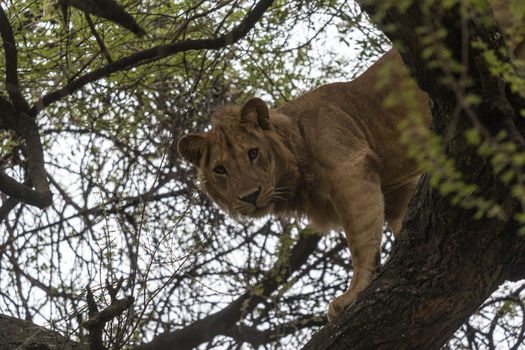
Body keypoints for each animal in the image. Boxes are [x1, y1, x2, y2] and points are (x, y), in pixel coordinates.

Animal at [178, 2, 520, 322]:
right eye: (220, 169)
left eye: (253, 153)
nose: (249, 196)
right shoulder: (397, 188)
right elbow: (401, 224)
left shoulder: (350, 167)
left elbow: (361, 239)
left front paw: (353, 293)